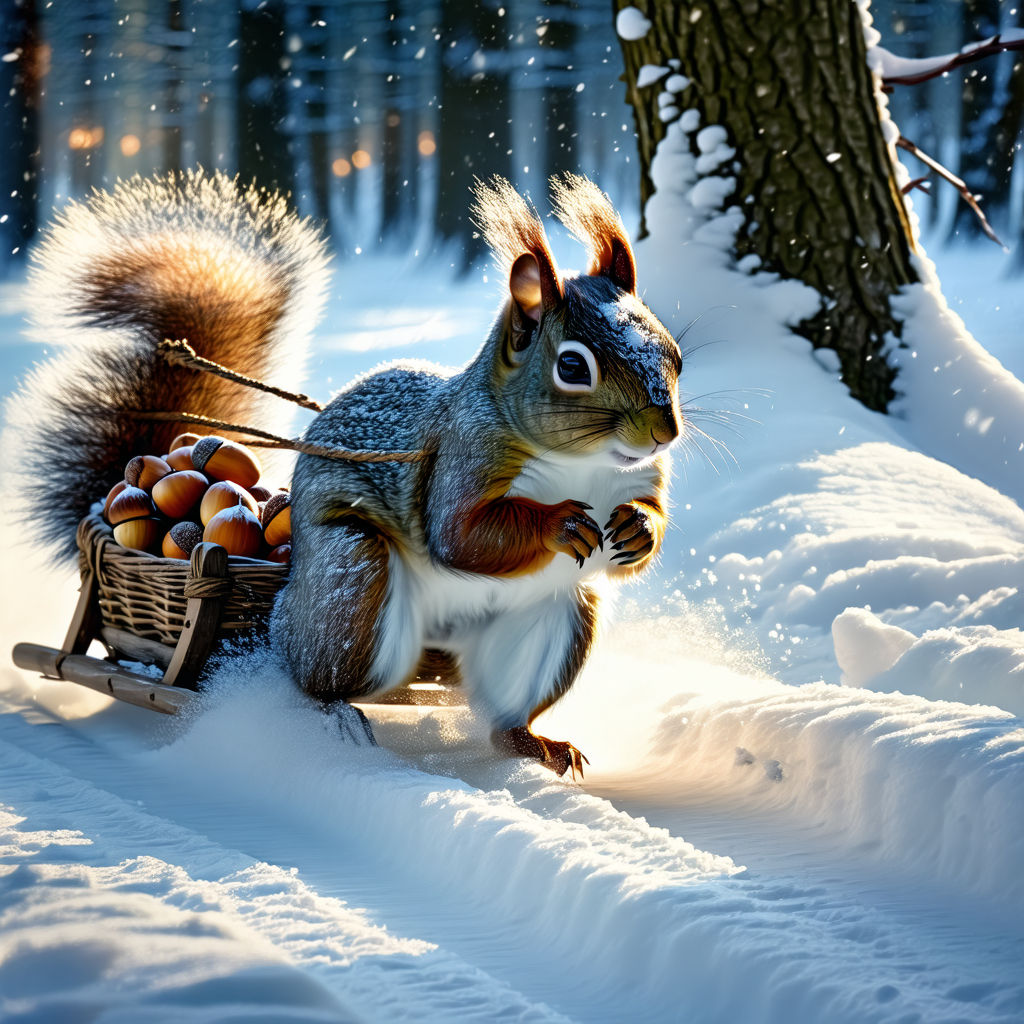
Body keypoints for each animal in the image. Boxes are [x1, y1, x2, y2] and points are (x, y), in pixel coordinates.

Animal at [11, 170, 682, 778]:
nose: (664, 432)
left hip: (554, 613)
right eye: (572, 367)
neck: (583, 465)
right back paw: (333, 717)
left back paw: (534, 743)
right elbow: (462, 535)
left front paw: (637, 528)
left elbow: (647, 524)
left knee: (502, 714)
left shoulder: (641, 479)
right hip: (352, 580)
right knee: (316, 675)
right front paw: (557, 524)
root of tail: (444, 643)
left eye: (673, 352)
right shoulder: (462, 459)